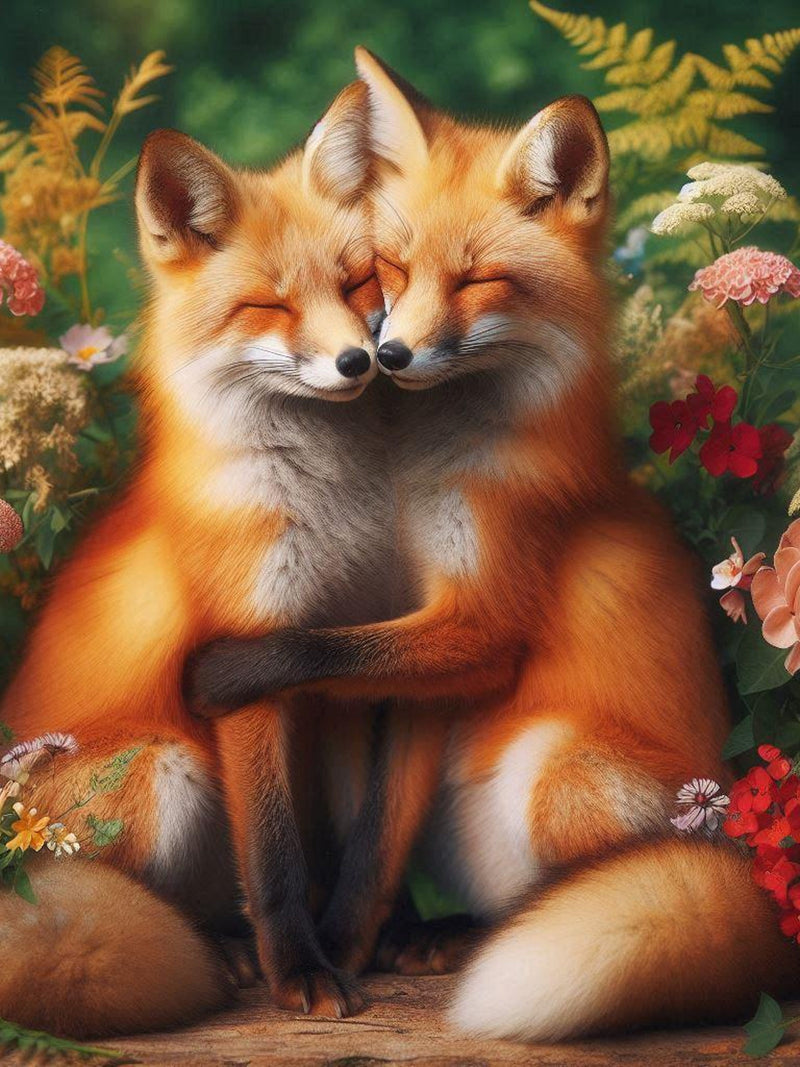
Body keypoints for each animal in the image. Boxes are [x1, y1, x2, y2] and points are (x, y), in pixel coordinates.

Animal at [0, 81, 412, 1036]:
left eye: (356, 283)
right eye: (271, 306)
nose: (359, 359)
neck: (327, 502)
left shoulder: (332, 658)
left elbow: (355, 830)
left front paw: (380, 933)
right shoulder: (242, 658)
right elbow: (275, 857)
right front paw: (302, 971)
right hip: (170, 771)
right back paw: (227, 953)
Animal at [186, 48, 800, 1041]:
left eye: (477, 282)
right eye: (389, 270)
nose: (386, 357)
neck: (418, 467)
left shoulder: (484, 613)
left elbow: (308, 648)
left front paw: (224, 672)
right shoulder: (395, 602)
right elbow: (358, 762)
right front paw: (337, 936)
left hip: (557, 771)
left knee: (562, 894)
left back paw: (486, 934)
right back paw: (433, 931)